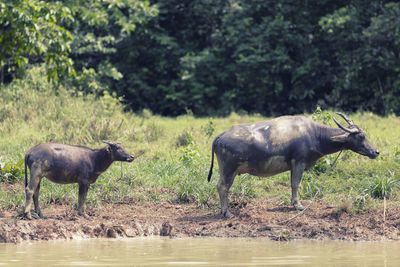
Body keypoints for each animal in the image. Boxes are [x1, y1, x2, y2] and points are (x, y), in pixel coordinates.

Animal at [208, 114, 380, 219]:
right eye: (361, 136)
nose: (375, 152)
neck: (315, 135)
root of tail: (220, 137)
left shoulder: (294, 165)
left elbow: (293, 183)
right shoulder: (299, 162)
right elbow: (296, 184)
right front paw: (298, 206)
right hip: (229, 170)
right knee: (222, 187)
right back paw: (227, 213)